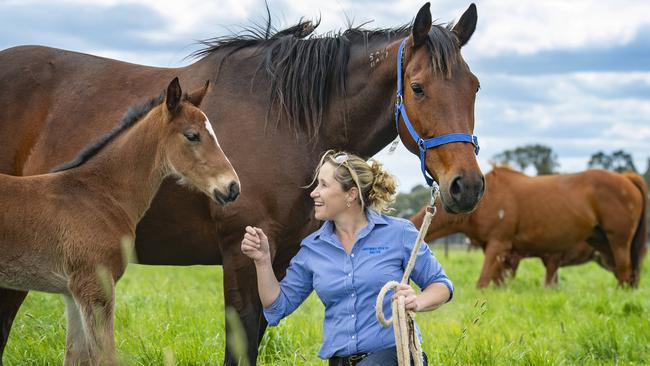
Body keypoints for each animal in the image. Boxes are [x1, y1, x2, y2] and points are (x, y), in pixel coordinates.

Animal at [0, 78, 240, 364]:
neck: (100, 194)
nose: (232, 187)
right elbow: (105, 356)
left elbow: (75, 355)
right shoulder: (94, 287)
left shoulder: (72, 293)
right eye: (192, 135)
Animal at [410, 167, 644, 288]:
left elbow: (482, 282)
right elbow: (497, 281)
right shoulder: (499, 253)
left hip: (619, 242)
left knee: (625, 271)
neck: (487, 199)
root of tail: (626, 177)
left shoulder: (498, 244)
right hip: (603, 243)